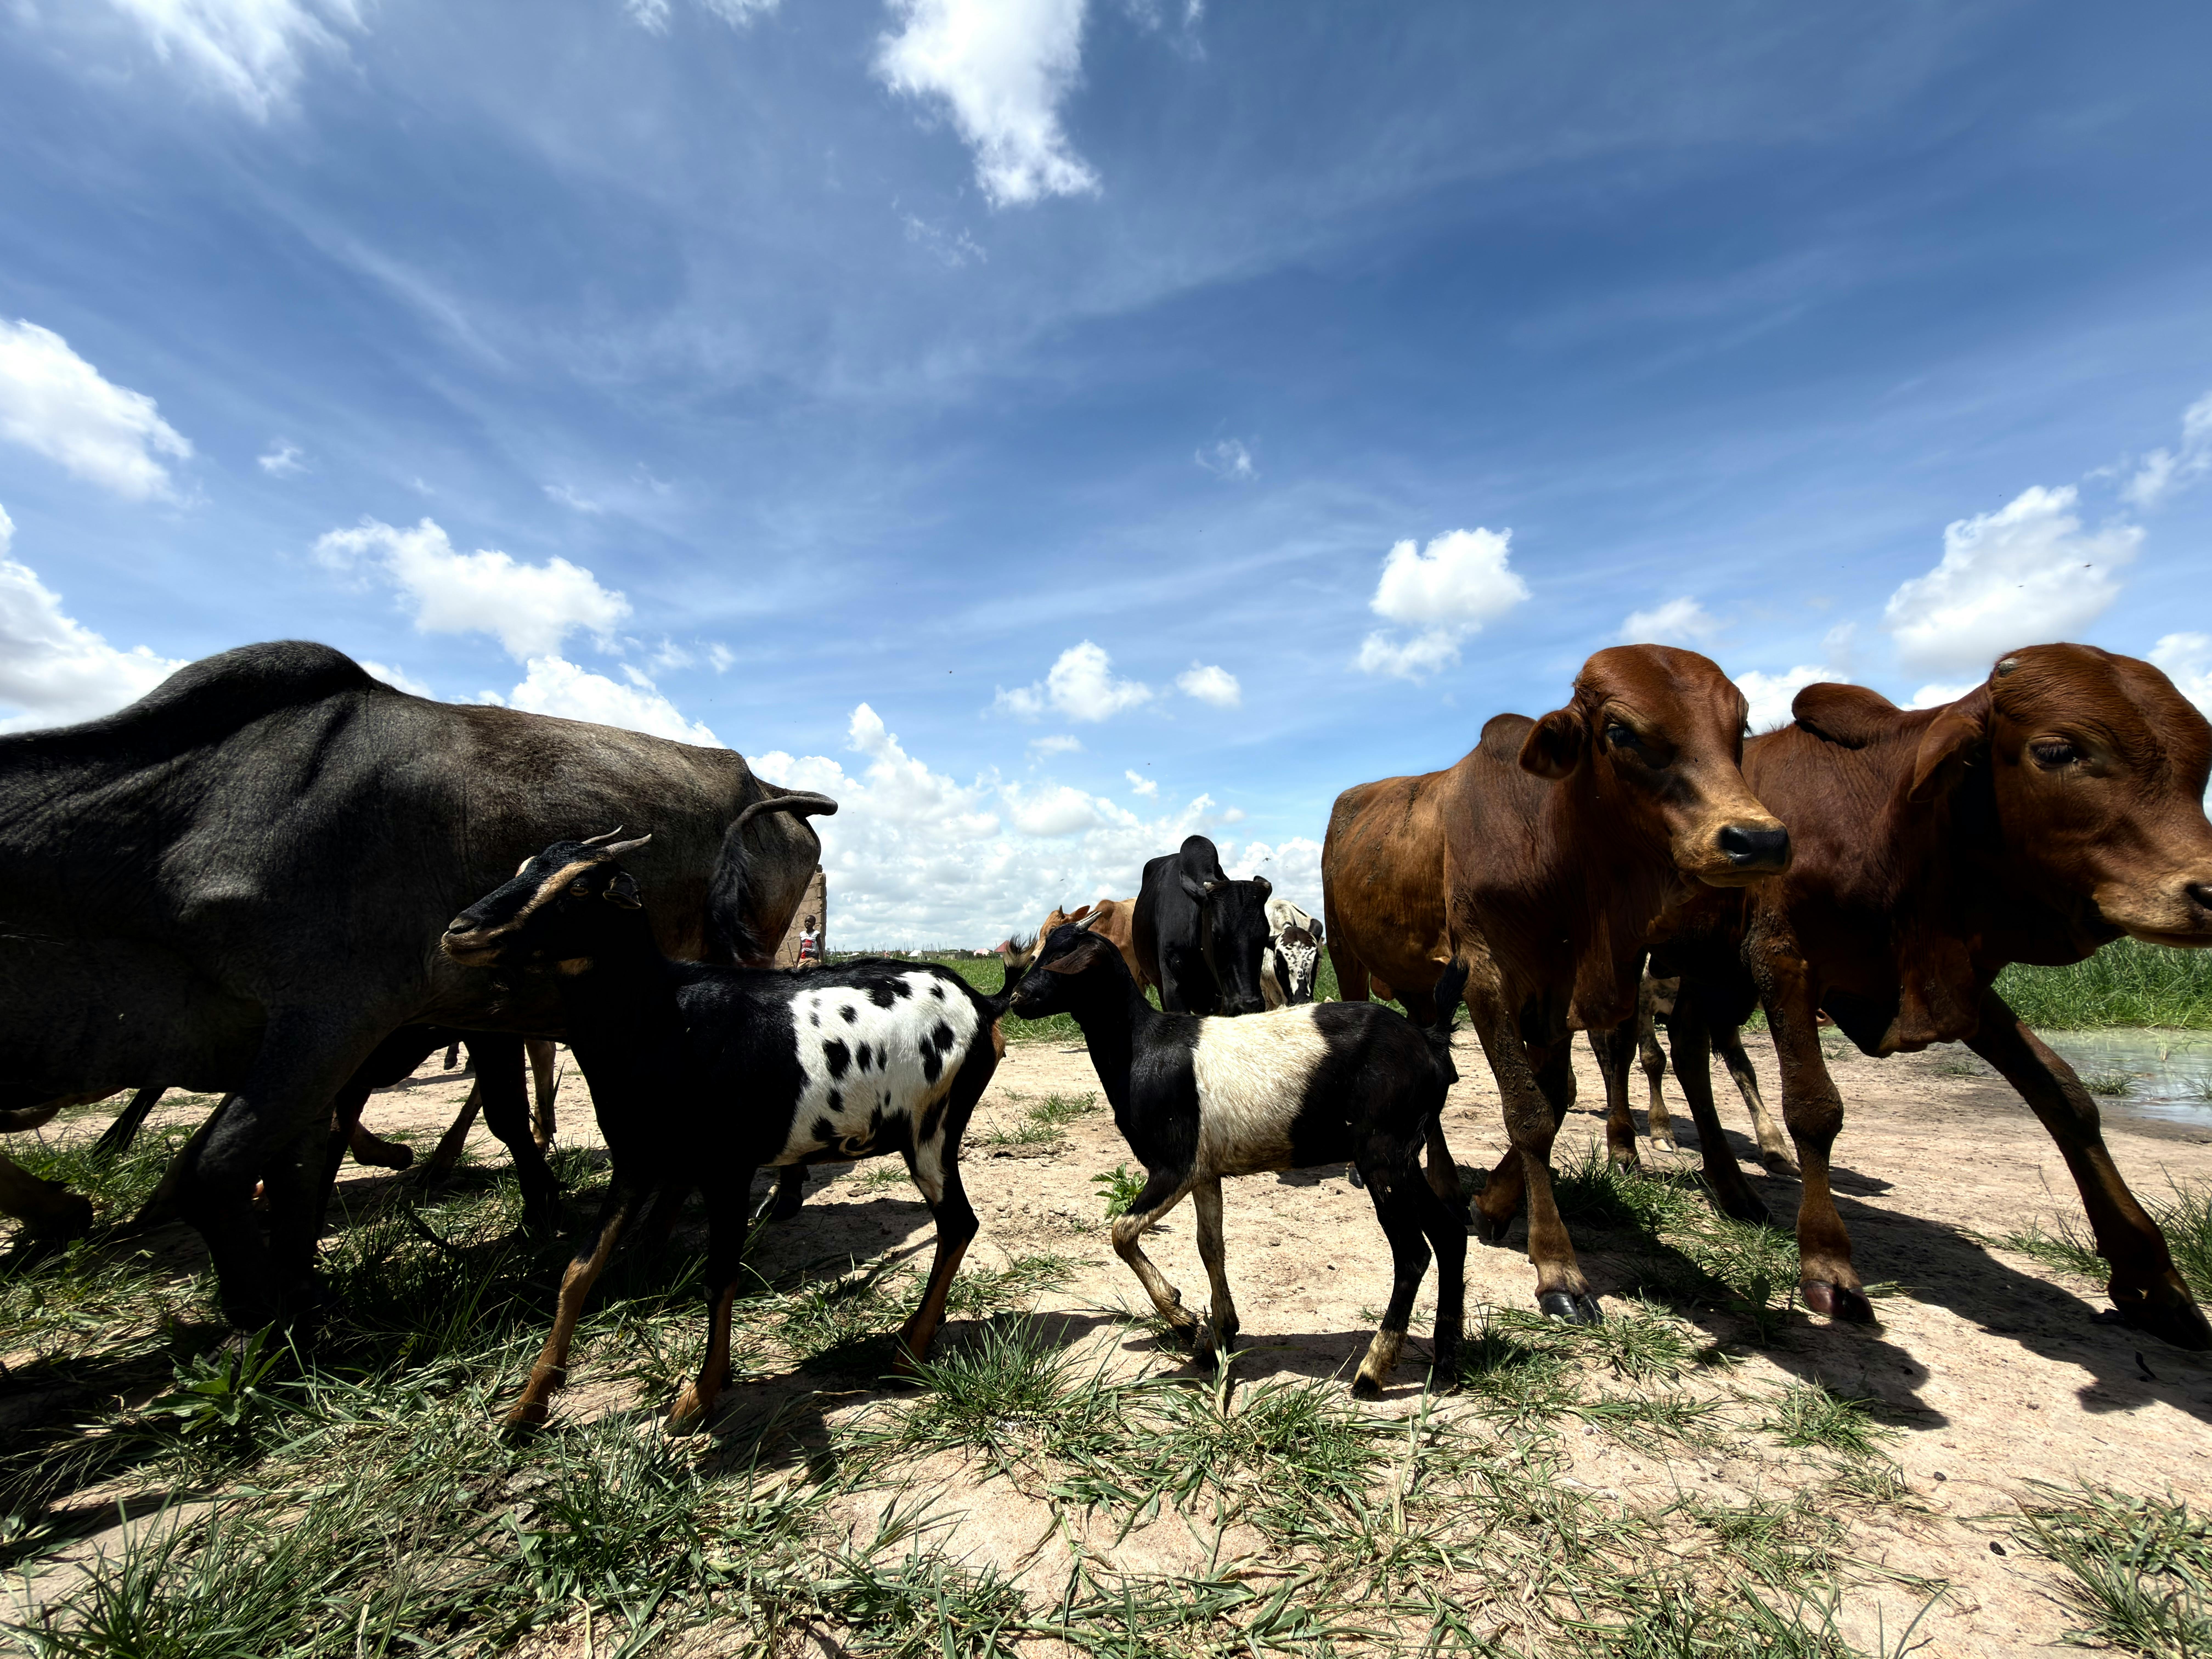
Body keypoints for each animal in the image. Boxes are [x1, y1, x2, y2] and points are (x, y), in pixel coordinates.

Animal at [0, 642, 833, 1333]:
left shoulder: (333, 1016)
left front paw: (265, 1321)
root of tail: (772, 789)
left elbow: (217, 1168)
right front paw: (303, 1285)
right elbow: (303, 1164)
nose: (460, 930)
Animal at [1323, 645, 1791, 1323]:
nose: (1758, 840)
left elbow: (1559, 1095)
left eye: (1740, 724)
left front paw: (1494, 1204)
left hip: (1422, 987)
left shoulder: (1556, 995)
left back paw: (1442, 1180)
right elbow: (1529, 1114)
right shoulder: (1488, 977)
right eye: (1619, 731)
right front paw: (1557, 1269)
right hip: (1348, 956)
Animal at [1674, 647, 2212, 1346]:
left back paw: (1730, 1183)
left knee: (1690, 1053)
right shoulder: (1781, 958)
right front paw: (1829, 1264)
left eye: (2200, 768)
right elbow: (1815, 1109)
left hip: (1706, 971)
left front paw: (2153, 1279)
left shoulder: (1959, 986)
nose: (2208, 894)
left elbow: (2065, 1096)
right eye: (2058, 751)